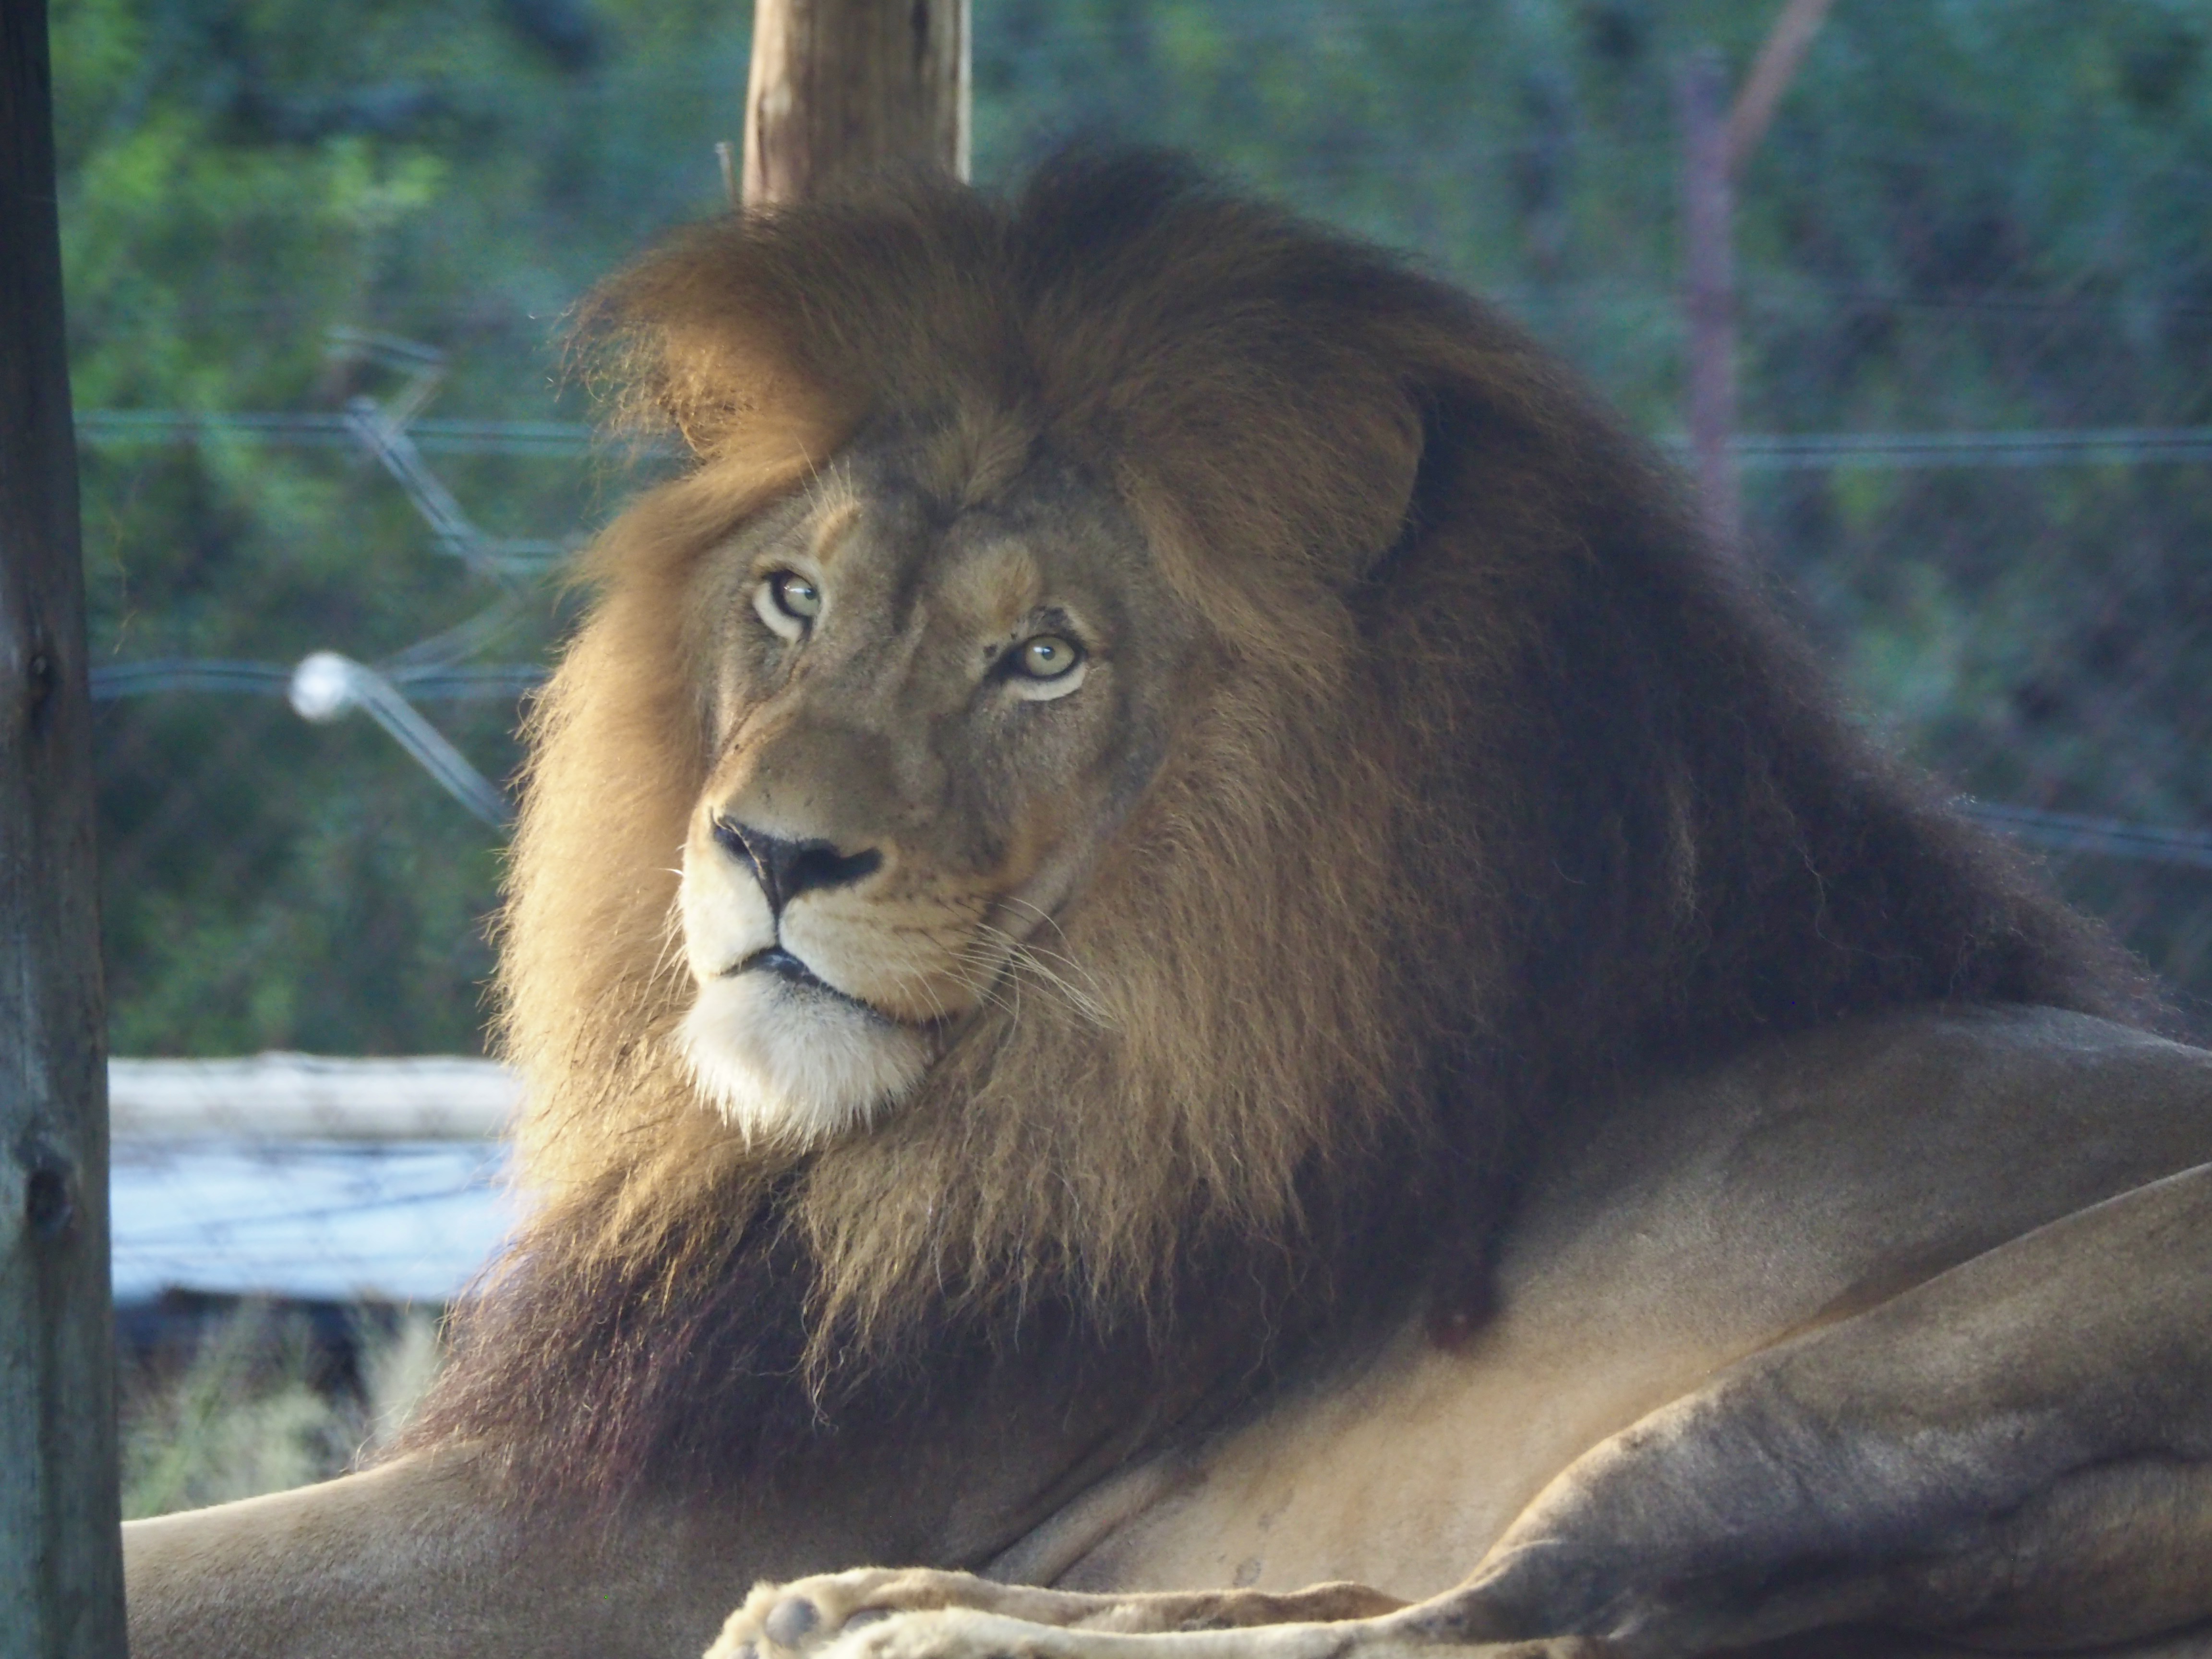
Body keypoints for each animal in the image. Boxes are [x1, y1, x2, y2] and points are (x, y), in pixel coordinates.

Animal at [122, 152, 2212, 1659]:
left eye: (1042, 657)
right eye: (795, 597)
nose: (768, 855)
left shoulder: (644, 1525)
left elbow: (182, 1567)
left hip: (1925, 1348)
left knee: (1528, 1617)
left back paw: (887, 1629)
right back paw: (866, 1609)